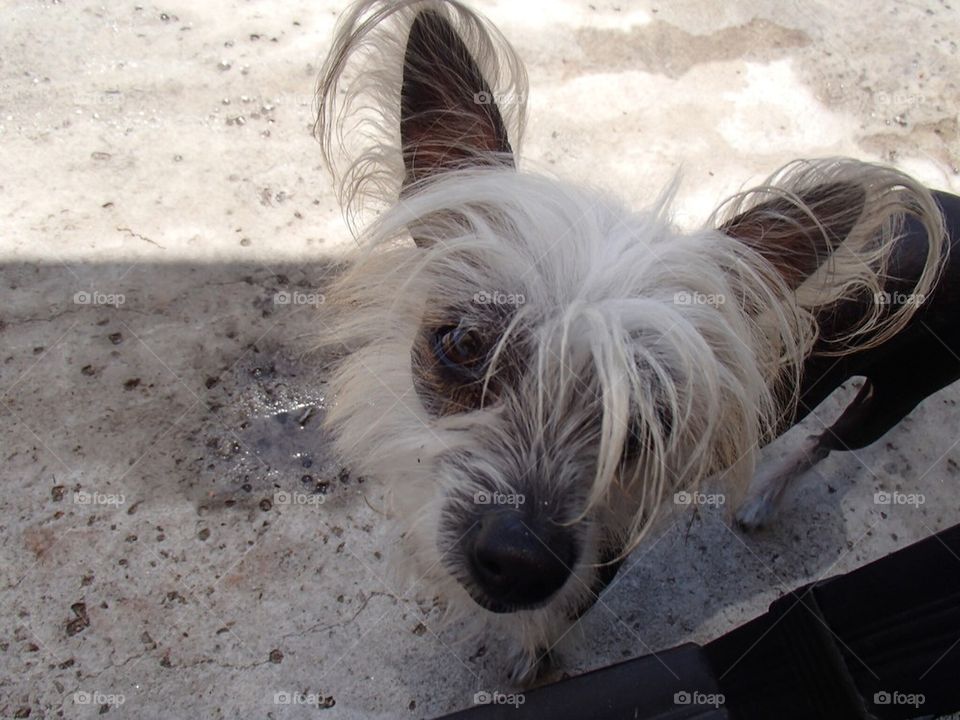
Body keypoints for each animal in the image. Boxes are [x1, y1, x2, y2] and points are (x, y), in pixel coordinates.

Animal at [312, 0, 956, 684]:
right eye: (461, 344)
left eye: (651, 423)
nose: (520, 561)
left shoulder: (599, 565)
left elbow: (549, 625)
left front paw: (530, 658)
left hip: (893, 398)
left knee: (827, 440)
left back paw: (765, 497)